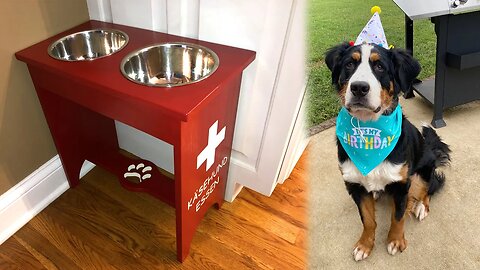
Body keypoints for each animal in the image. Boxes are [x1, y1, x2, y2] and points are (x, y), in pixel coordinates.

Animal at [324, 42, 452, 262]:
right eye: (349, 64)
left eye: (380, 67)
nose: (359, 88)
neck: (368, 132)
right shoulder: (354, 184)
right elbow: (367, 220)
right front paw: (364, 245)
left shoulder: (401, 184)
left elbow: (398, 216)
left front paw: (395, 241)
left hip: (423, 171)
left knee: (428, 188)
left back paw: (421, 207)